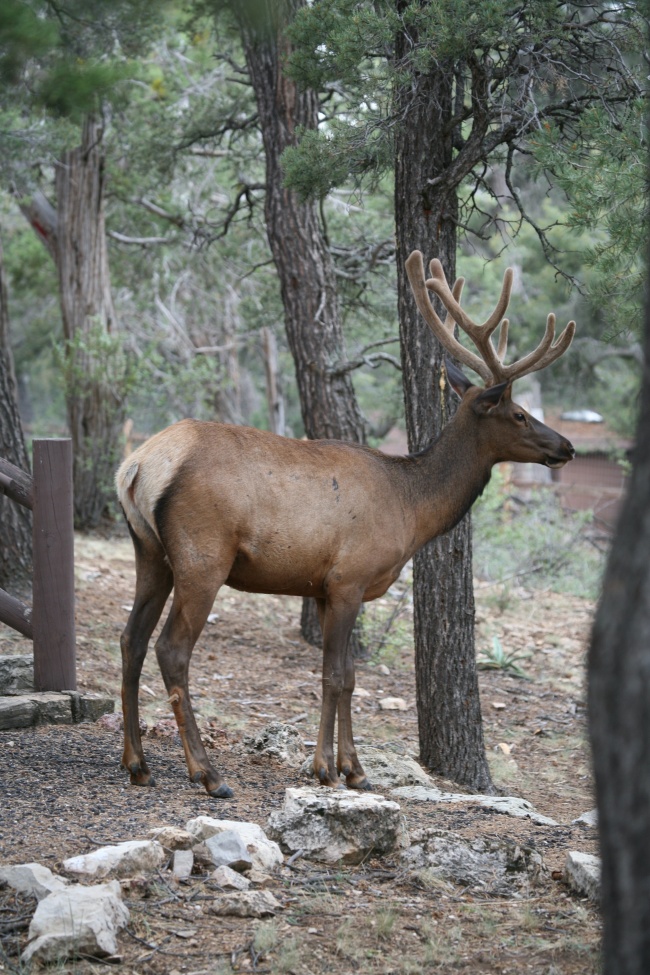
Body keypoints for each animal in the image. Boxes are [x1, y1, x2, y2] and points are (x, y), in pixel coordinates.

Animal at [116, 251, 576, 799]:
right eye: (520, 414)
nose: (567, 446)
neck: (412, 508)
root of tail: (138, 465)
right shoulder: (349, 578)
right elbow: (337, 676)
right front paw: (328, 768)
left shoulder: (321, 586)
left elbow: (346, 676)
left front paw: (352, 767)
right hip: (201, 556)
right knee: (171, 649)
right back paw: (207, 773)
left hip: (149, 551)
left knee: (131, 639)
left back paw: (136, 763)